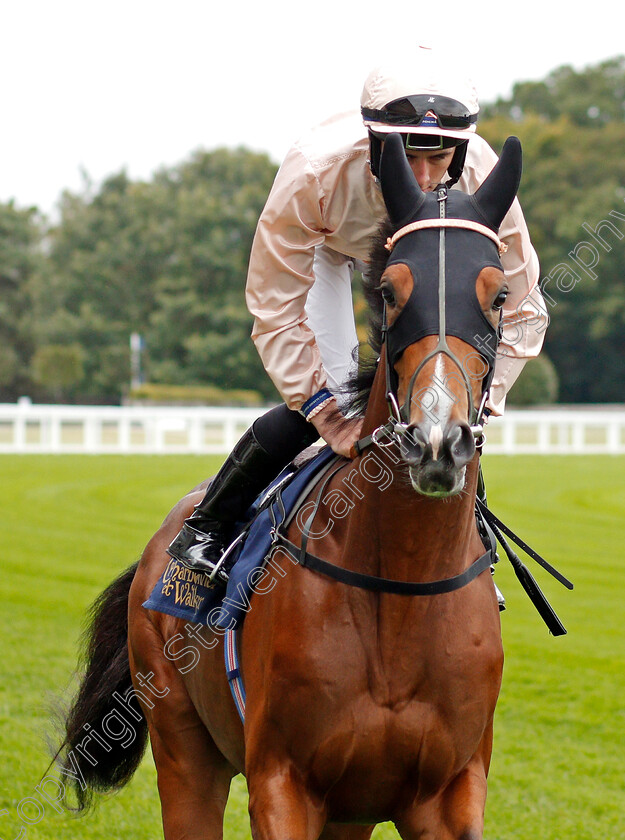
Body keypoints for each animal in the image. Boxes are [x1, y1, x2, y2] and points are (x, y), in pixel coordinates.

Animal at [56, 135, 520, 840]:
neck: (401, 589)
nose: (438, 441)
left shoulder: (448, 793)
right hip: (184, 747)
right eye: (390, 291)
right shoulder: (283, 781)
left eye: (497, 296)